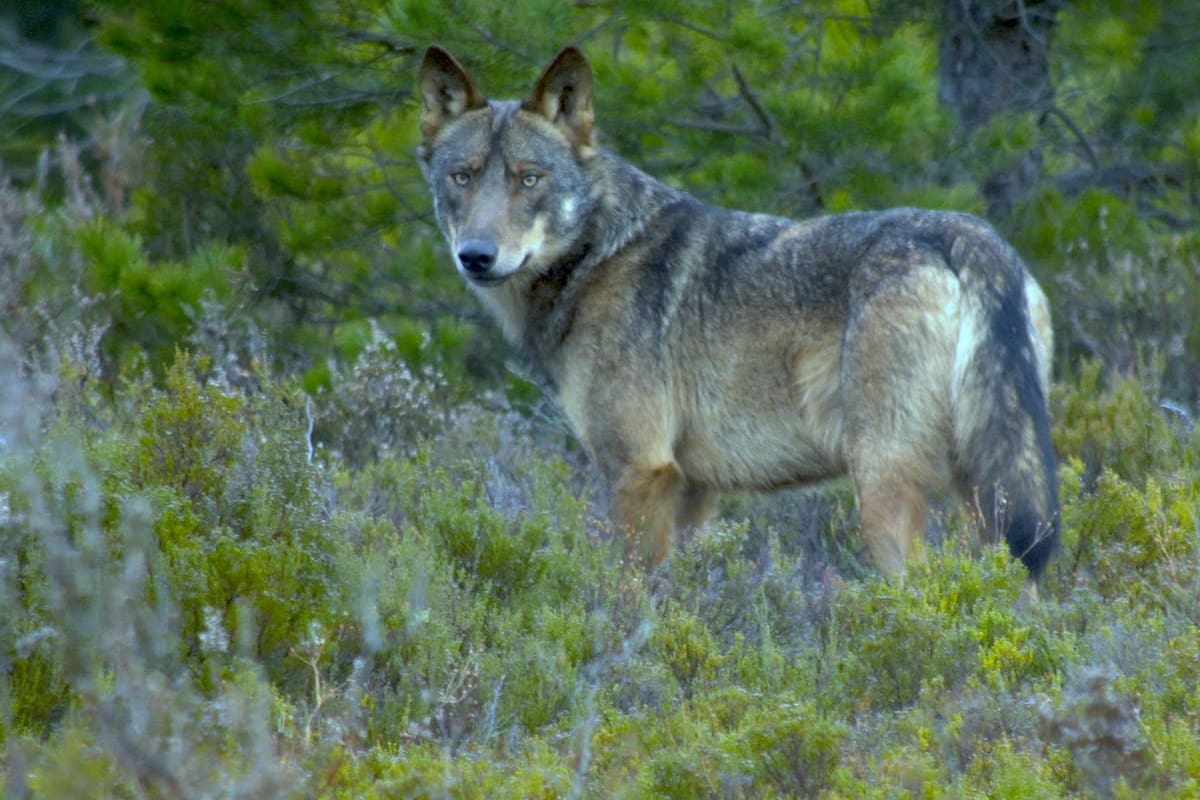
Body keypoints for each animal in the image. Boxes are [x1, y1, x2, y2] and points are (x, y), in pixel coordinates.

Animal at [416, 45, 1059, 579]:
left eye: (529, 179)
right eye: (462, 177)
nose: (476, 256)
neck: (598, 255)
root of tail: (968, 235)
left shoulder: (639, 472)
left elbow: (626, 598)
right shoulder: (695, 489)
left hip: (884, 488)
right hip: (986, 494)